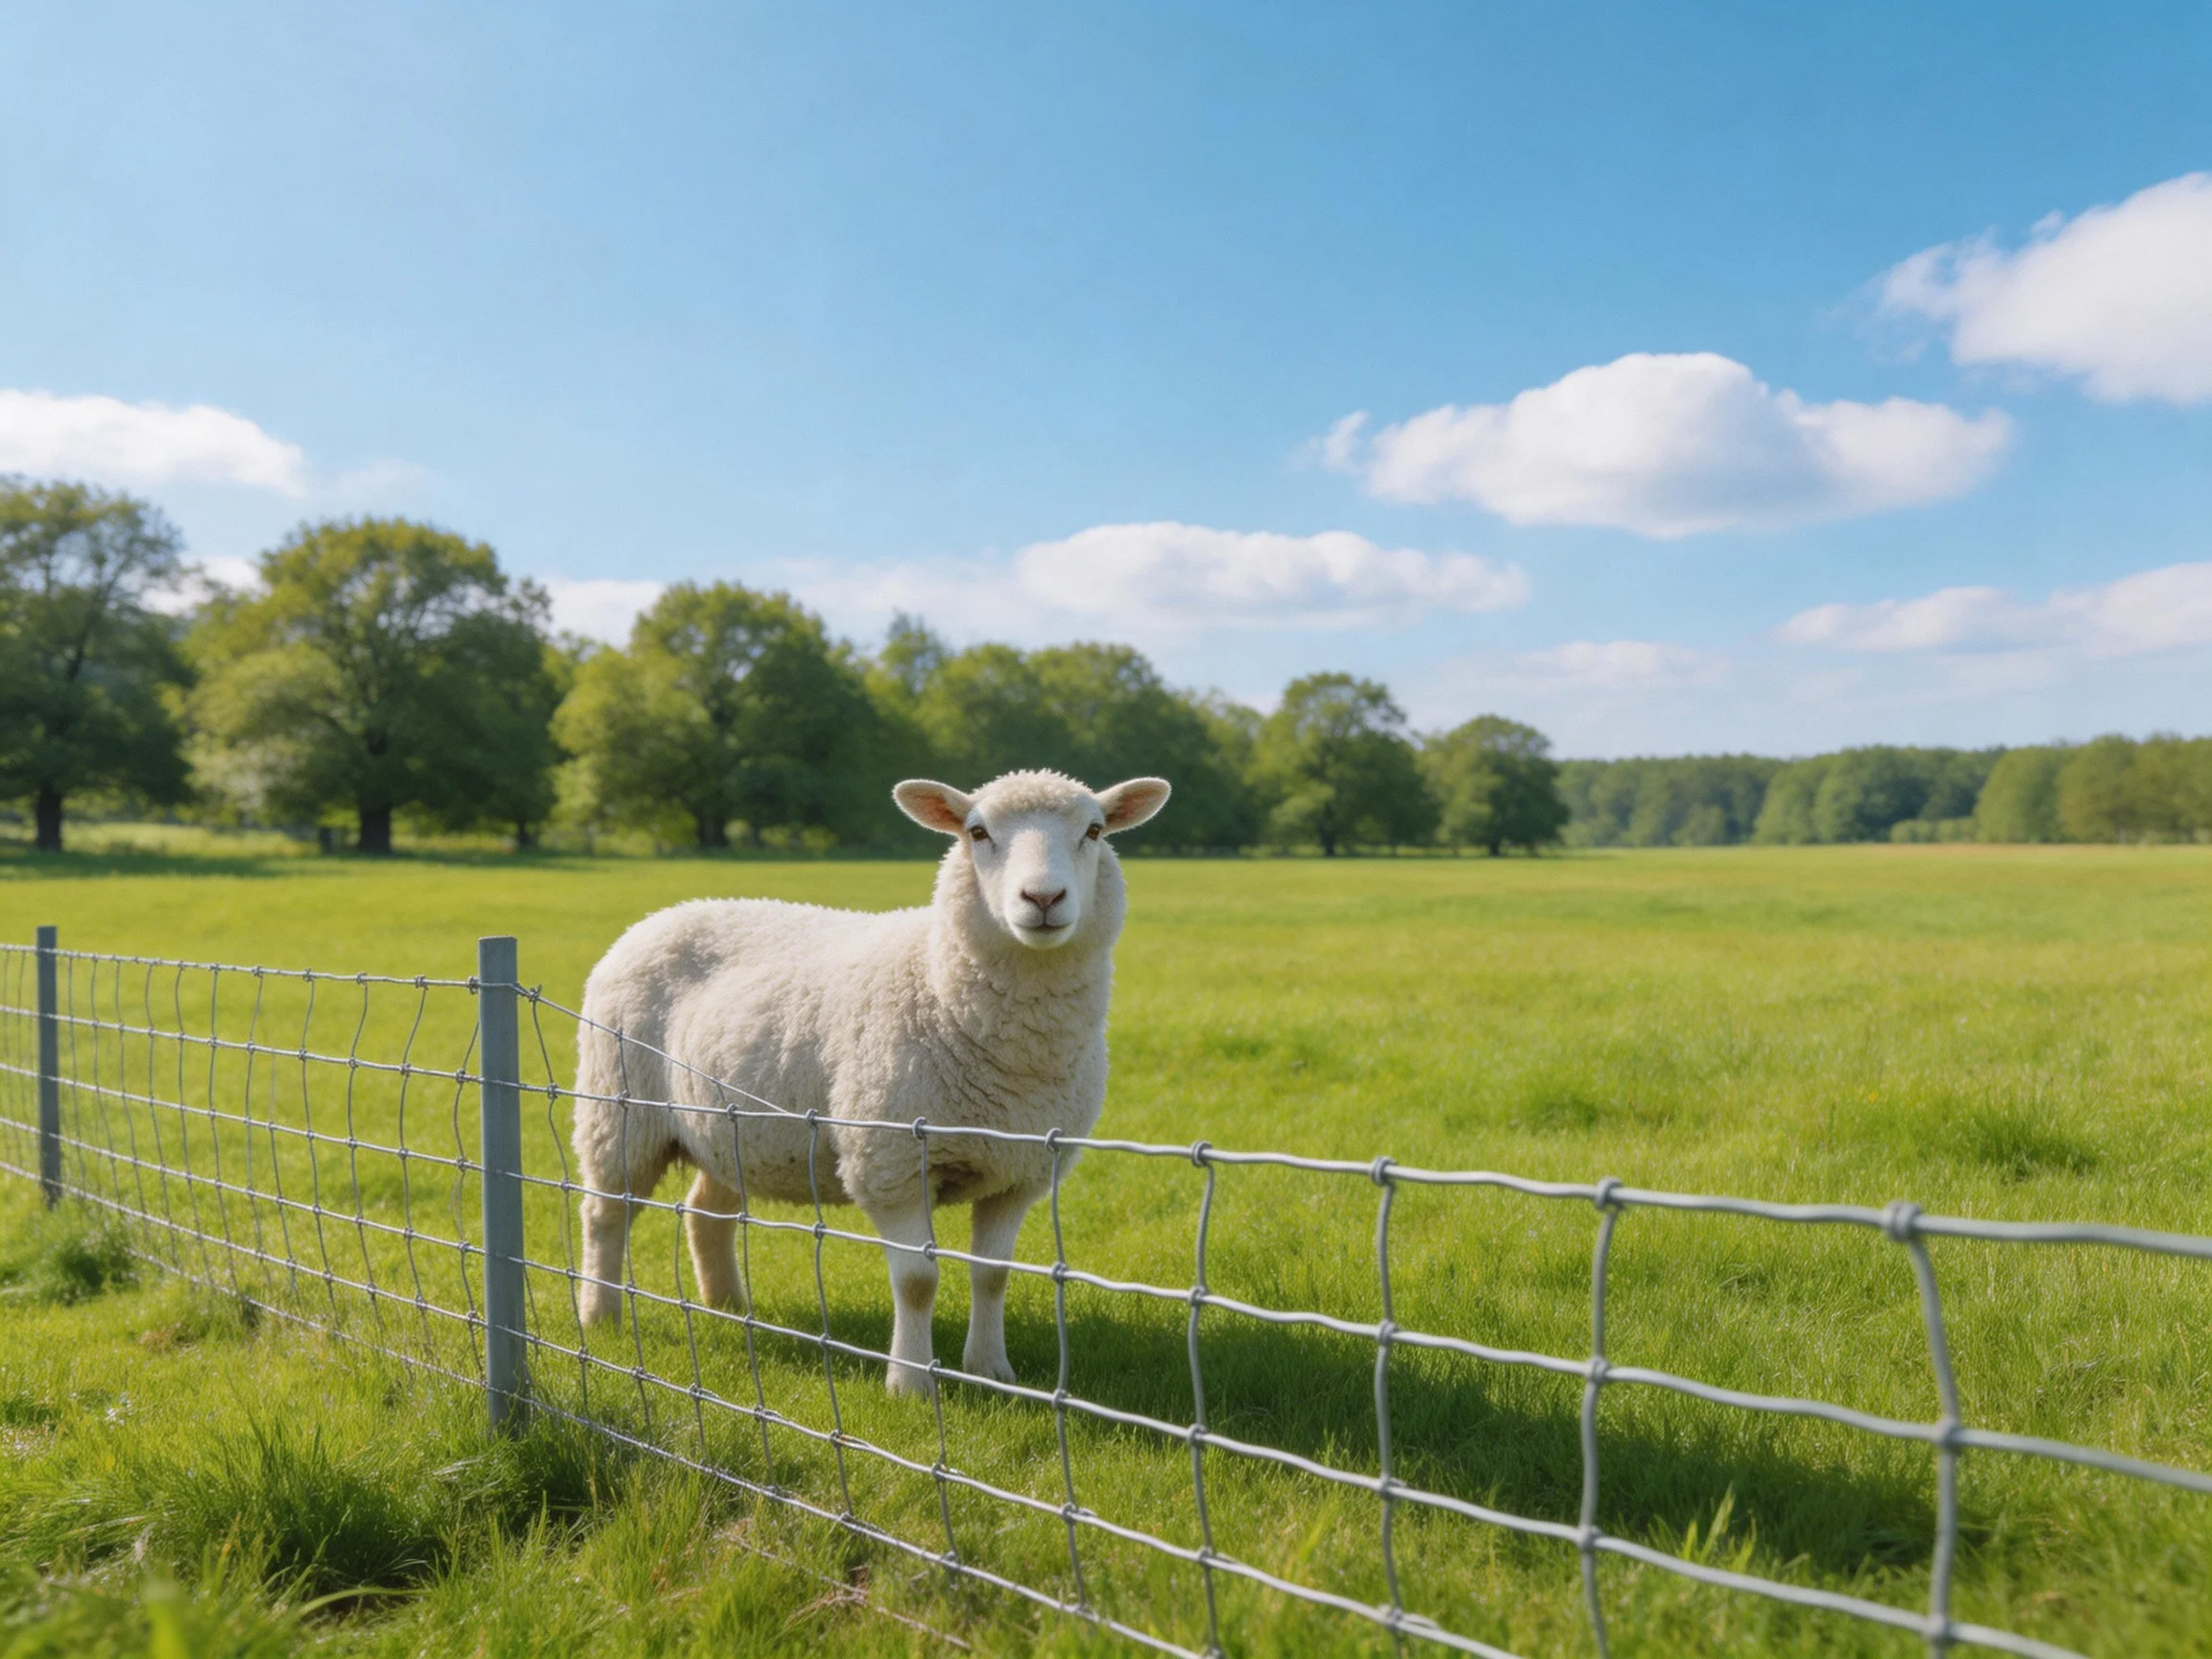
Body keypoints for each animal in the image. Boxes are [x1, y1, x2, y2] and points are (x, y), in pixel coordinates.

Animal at [570, 769, 1171, 1395]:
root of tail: (663, 915)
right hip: (618, 1111)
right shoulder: (891, 1162)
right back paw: (600, 1315)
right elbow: (917, 1283)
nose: (1044, 900)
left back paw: (728, 1306)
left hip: (728, 1127)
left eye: (1095, 830)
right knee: (604, 1215)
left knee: (706, 1213)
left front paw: (990, 1369)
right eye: (977, 832)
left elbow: (993, 1276)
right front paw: (910, 1384)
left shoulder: (1019, 1171)